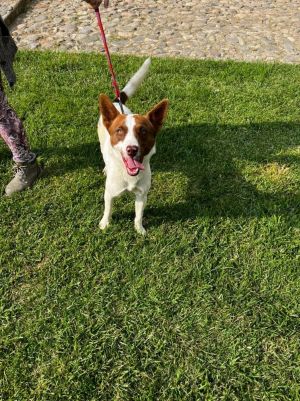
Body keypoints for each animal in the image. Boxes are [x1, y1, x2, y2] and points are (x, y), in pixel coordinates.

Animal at [98, 59, 169, 234]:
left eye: (143, 131)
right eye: (119, 131)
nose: (132, 149)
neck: (129, 175)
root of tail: (117, 102)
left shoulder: (142, 195)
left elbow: (138, 215)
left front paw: (139, 229)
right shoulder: (109, 193)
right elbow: (108, 209)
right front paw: (105, 224)